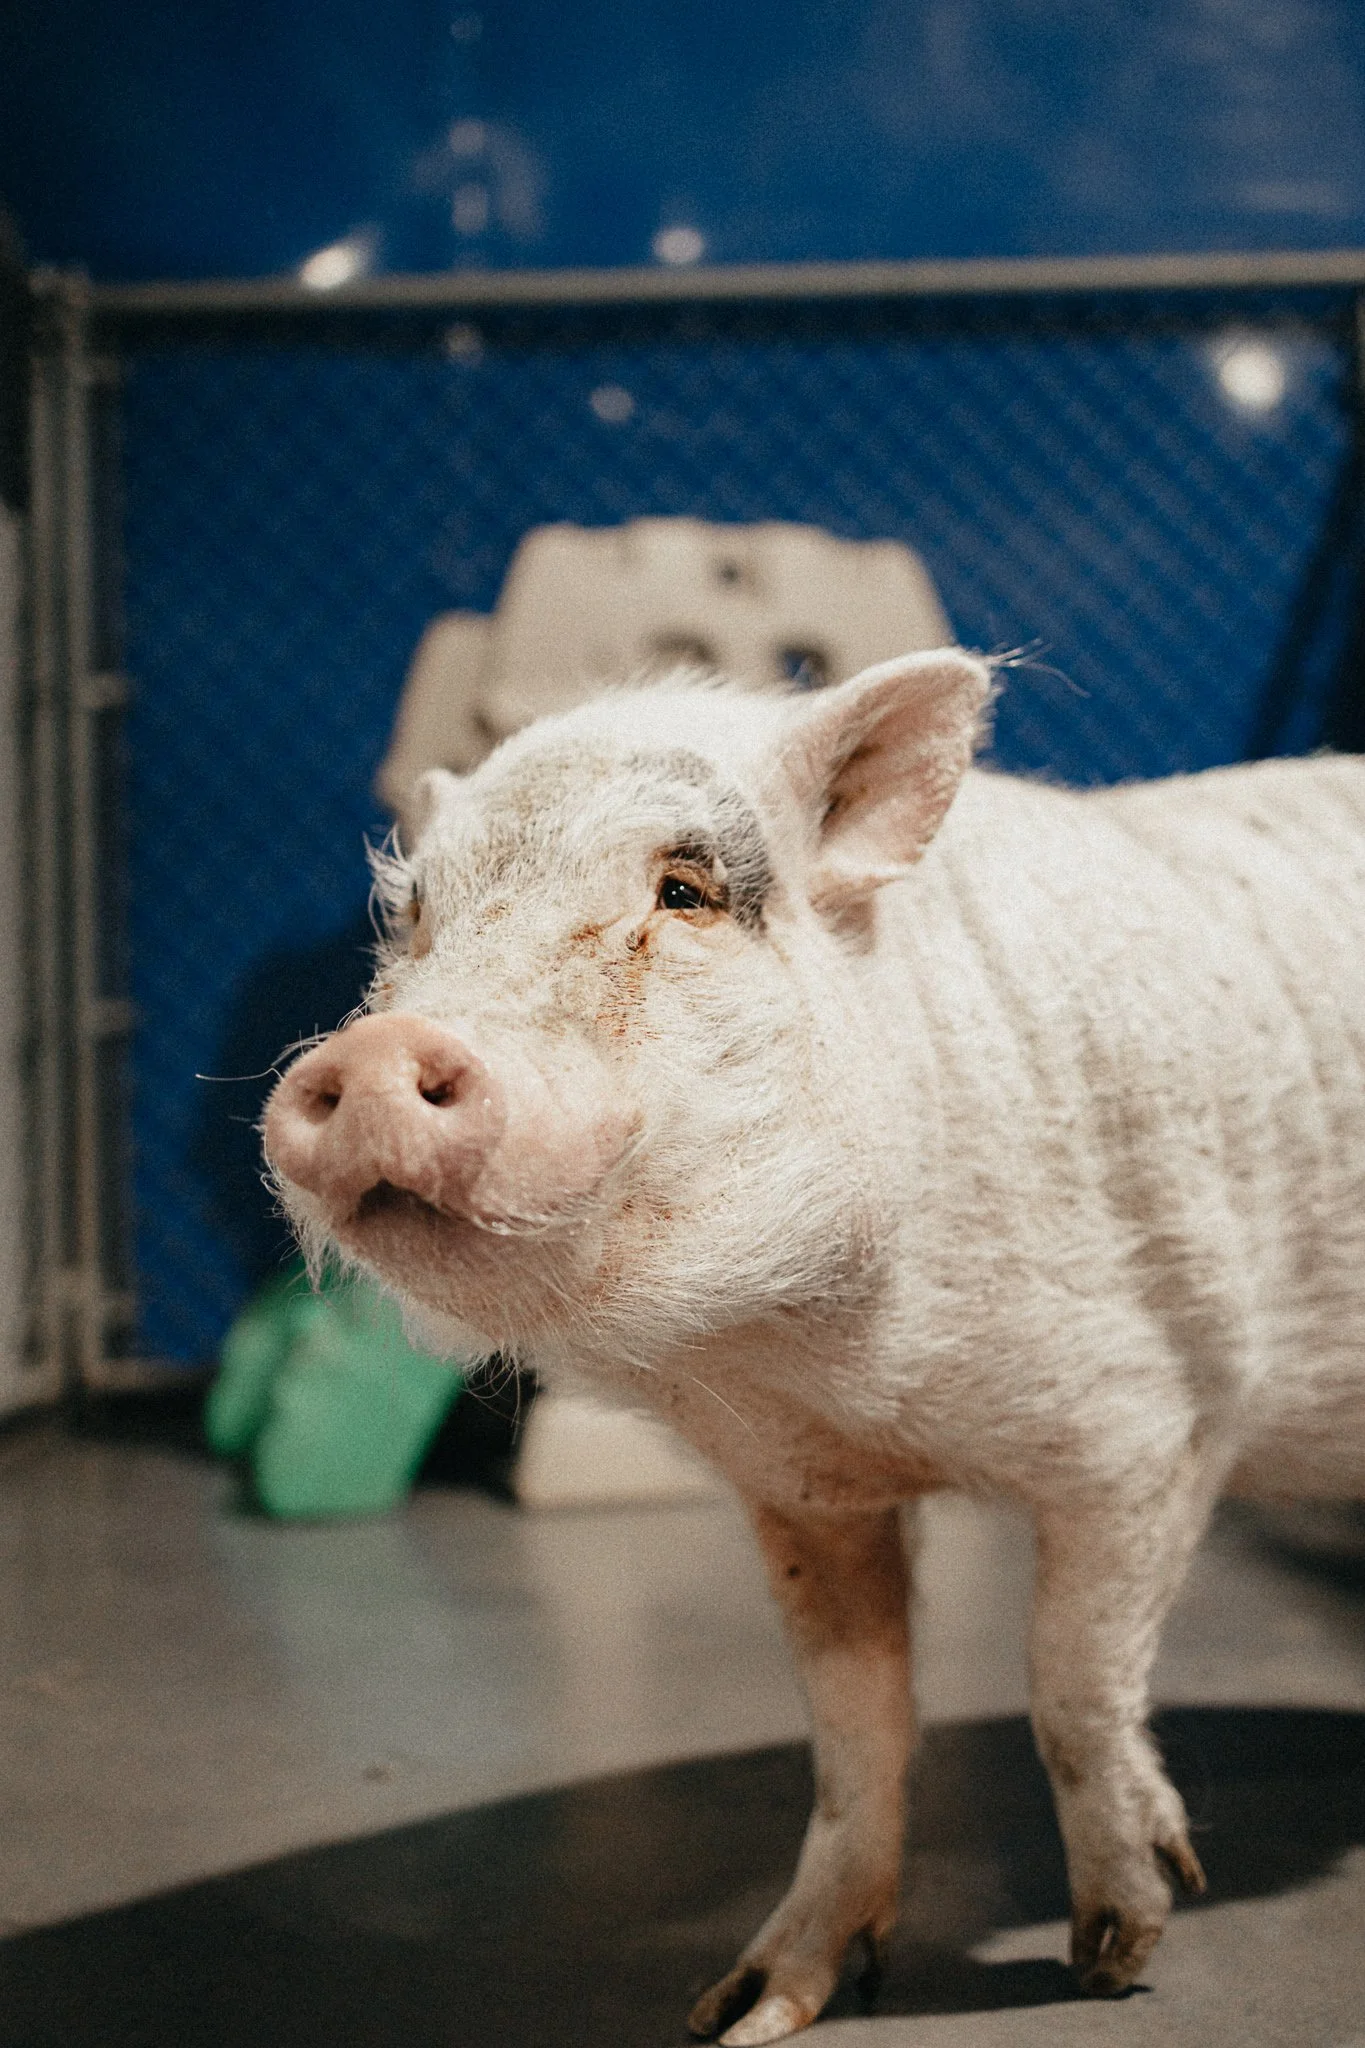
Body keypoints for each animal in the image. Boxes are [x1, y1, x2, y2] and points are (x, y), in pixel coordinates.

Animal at [263, 650, 1365, 2045]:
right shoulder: (802, 1492)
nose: (374, 1052)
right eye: (411, 918)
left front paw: (1116, 1958)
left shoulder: (1155, 1419)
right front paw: (741, 2011)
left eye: (683, 891)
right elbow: (853, 1727)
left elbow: (1070, 1679)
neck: (838, 1373)